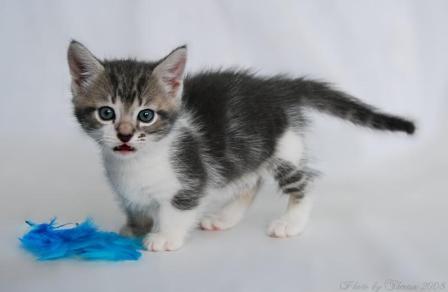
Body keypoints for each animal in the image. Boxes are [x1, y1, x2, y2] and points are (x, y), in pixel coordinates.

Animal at [68, 40, 414, 251]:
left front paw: (165, 237)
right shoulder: (126, 189)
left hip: (283, 148)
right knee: (251, 181)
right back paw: (225, 218)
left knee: (304, 182)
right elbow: (135, 205)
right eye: (106, 113)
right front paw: (135, 228)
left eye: (146, 115)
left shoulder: (191, 177)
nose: (125, 135)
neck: (137, 163)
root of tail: (276, 87)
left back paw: (292, 222)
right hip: (247, 151)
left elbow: (178, 209)